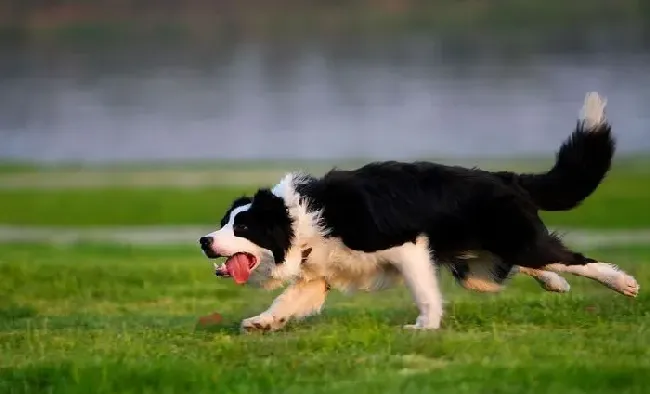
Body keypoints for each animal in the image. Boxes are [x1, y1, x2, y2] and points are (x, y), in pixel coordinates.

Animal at [197, 93, 636, 332]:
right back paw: (555, 283)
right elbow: (286, 301)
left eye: (243, 226)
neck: (299, 219)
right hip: (478, 266)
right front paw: (261, 322)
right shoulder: (318, 273)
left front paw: (425, 327)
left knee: (571, 257)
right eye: (223, 223)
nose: (203, 241)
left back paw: (624, 283)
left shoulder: (406, 245)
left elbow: (425, 292)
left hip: (514, 240)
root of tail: (506, 178)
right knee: (520, 266)